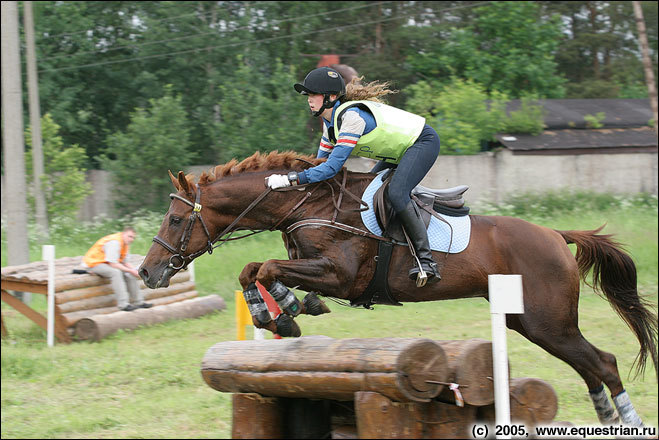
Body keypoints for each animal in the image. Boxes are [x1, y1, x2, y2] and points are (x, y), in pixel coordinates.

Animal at [138, 152, 656, 426]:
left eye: (177, 220)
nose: (147, 273)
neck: (308, 204)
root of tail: (555, 234)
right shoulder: (310, 265)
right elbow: (254, 269)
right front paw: (283, 312)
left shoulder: (340, 273)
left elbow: (264, 267)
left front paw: (283, 312)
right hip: (530, 322)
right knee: (590, 365)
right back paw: (607, 418)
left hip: (545, 321)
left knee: (602, 362)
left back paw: (627, 422)